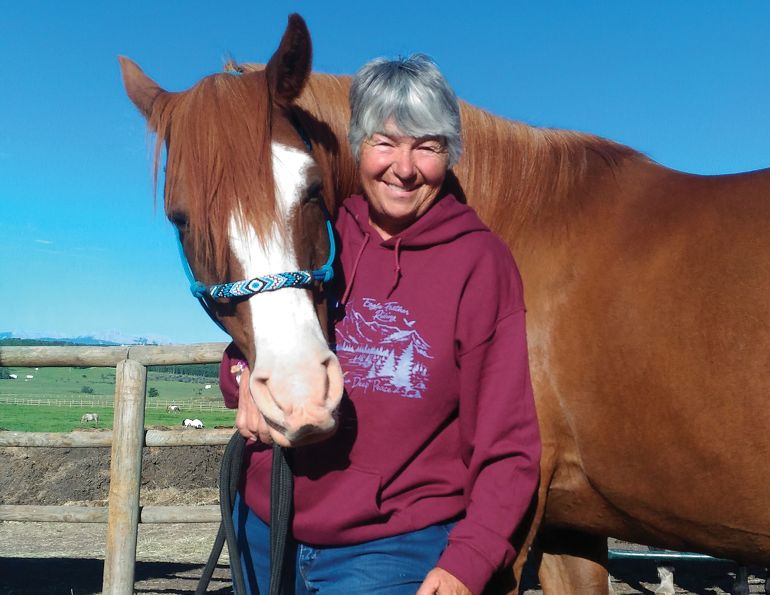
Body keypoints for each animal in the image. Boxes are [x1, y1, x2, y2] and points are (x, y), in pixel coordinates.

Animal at [119, 14, 770, 594]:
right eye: (181, 219)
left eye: (309, 189)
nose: (300, 393)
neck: (524, 224)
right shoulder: (569, 525)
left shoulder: (511, 523)